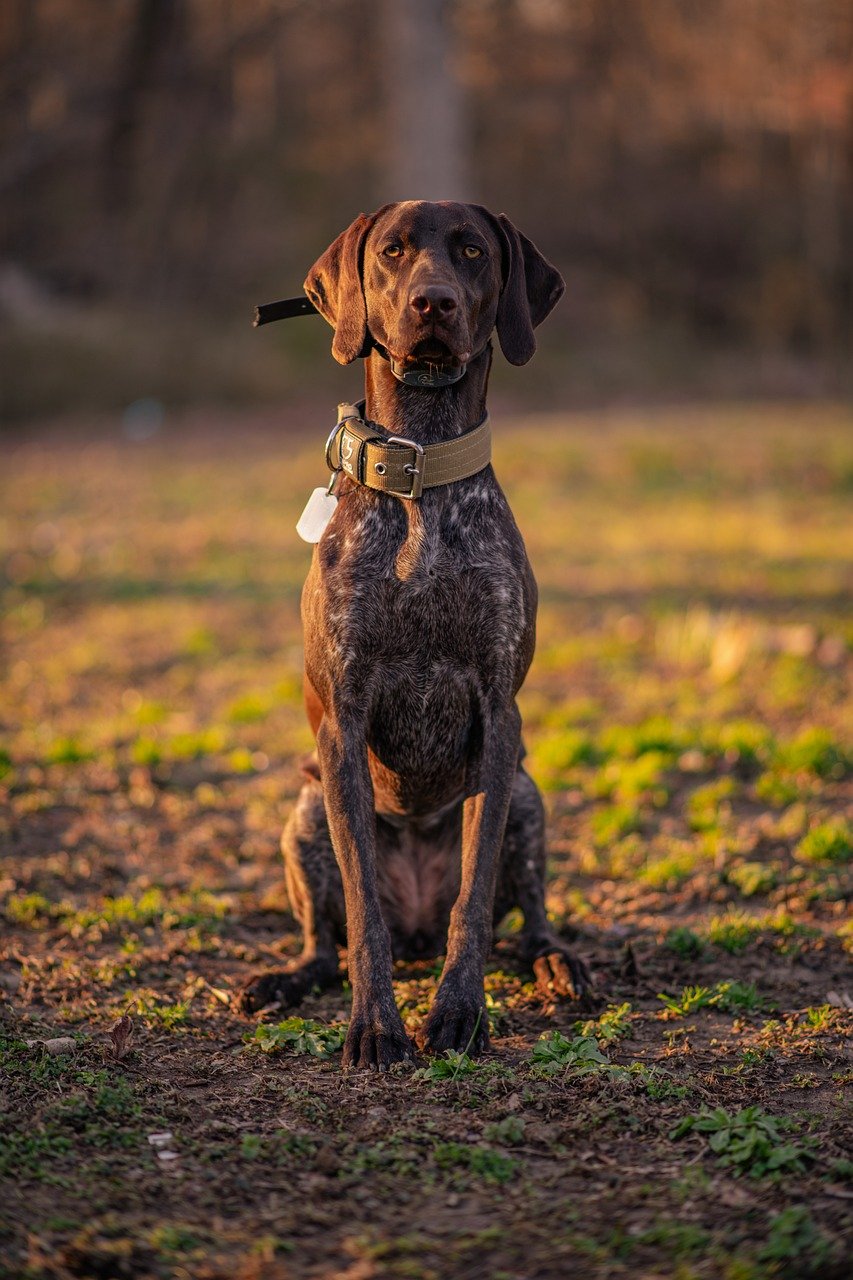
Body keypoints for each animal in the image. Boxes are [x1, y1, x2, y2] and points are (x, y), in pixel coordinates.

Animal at [242, 199, 591, 1064]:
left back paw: (558, 965)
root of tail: (418, 932)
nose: (432, 302)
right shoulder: (343, 722)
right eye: (393, 252)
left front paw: (459, 1014)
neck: (421, 466)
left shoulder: (498, 717)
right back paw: (281, 980)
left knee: (528, 921)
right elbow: (362, 907)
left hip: (527, 797)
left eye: (470, 251)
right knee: (323, 945)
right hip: (304, 810)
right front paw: (375, 1026)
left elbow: (474, 898)